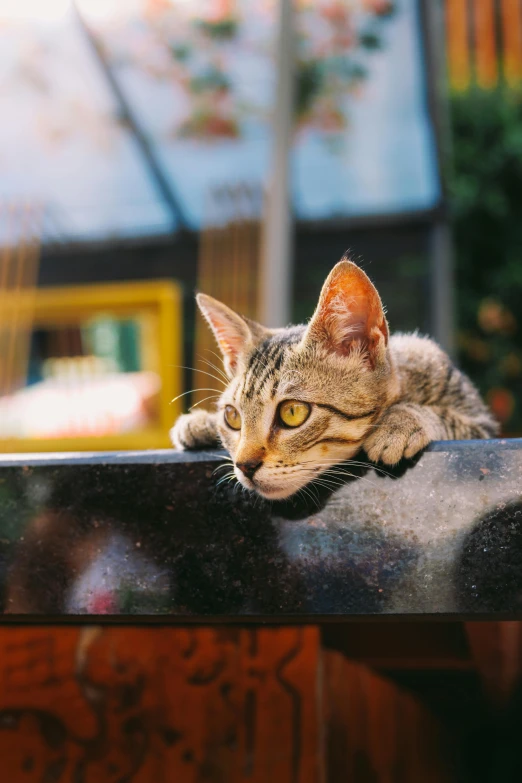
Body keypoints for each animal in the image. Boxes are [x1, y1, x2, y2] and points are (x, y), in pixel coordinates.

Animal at [171, 260, 496, 500]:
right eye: (232, 417)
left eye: (292, 412)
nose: (244, 465)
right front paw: (199, 422)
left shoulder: (483, 425)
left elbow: (448, 417)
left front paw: (400, 422)